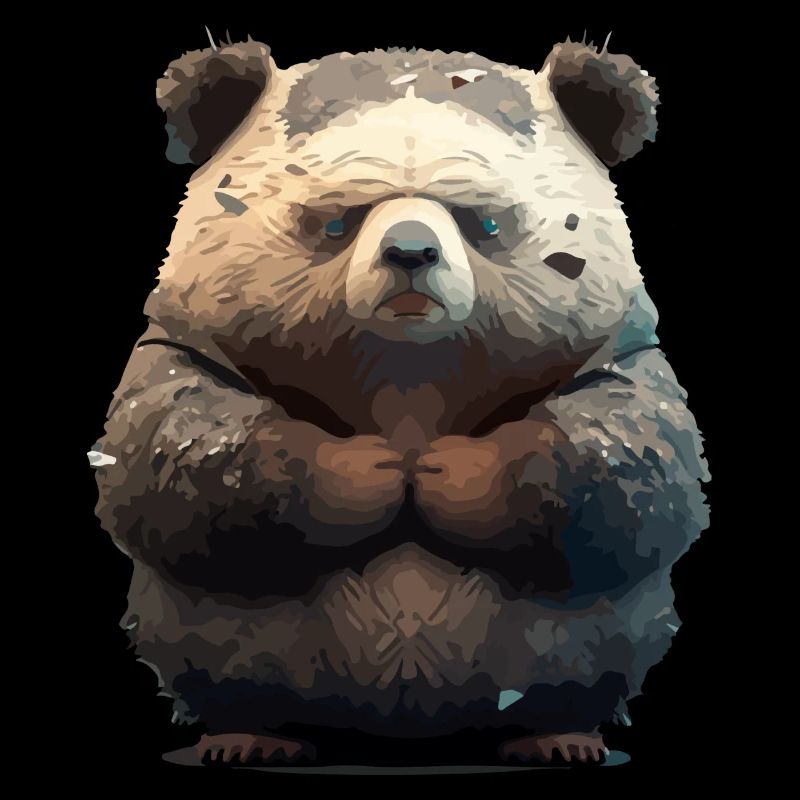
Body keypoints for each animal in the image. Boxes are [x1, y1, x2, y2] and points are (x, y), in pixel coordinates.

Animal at [91, 35, 710, 767]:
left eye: (484, 222)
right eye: (335, 222)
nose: (410, 253)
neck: (409, 370)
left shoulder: (618, 343)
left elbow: (638, 454)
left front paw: (453, 472)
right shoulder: (185, 335)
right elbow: (167, 445)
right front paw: (368, 471)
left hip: (587, 640)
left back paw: (562, 734)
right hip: (212, 635)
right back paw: (248, 734)